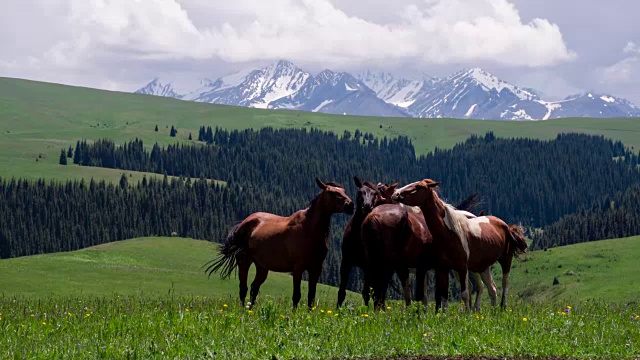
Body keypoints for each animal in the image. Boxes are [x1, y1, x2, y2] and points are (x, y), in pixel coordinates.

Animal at [206, 179, 356, 310]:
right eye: (332, 192)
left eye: (343, 191)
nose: (350, 205)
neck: (309, 230)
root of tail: (243, 223)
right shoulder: (298, 269)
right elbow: (296, 295)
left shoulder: (316, 268)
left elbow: (311, 296)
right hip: (244, 262)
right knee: (244, 288)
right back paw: (243, 311)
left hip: (262, 267)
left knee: (254, 288)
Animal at [338, 176, 388, 308]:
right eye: (360, 192)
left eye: (375, 194)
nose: (367, 206)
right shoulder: (346, 261)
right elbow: (342, 291)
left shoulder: (368, 266)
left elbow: (368, 292)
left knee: (380, 291)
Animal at [390, 180, 528, 312]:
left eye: (418, 186)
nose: (396, 194)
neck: (450, 233)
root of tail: (506, 226)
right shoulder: (443, 268)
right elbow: (443, 295)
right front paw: (443, 315)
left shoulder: (462, 267)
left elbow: (465, 293)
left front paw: (467, 314)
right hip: (482, 267)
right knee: (491, 289)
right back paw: (493, 311)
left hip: (506, 260)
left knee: (504, 284)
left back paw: (502, 307)